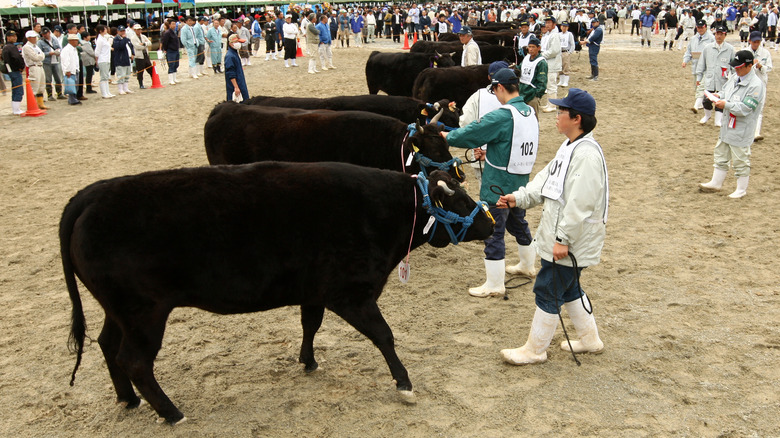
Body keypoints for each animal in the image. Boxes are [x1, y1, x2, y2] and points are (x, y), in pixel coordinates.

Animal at [62, 162, 494, 424]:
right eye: (458, 199)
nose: (491, 223)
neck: (383, 213)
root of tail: (90, 195)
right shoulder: (351, 293)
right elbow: (384, 335)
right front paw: (404, 383)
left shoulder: (315, 290)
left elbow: (310, 324)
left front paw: (308, 361)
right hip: (144, 313)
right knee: (134, 361)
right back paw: (172, 413)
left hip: (120, 310)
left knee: (107, 345)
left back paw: (128, 399)